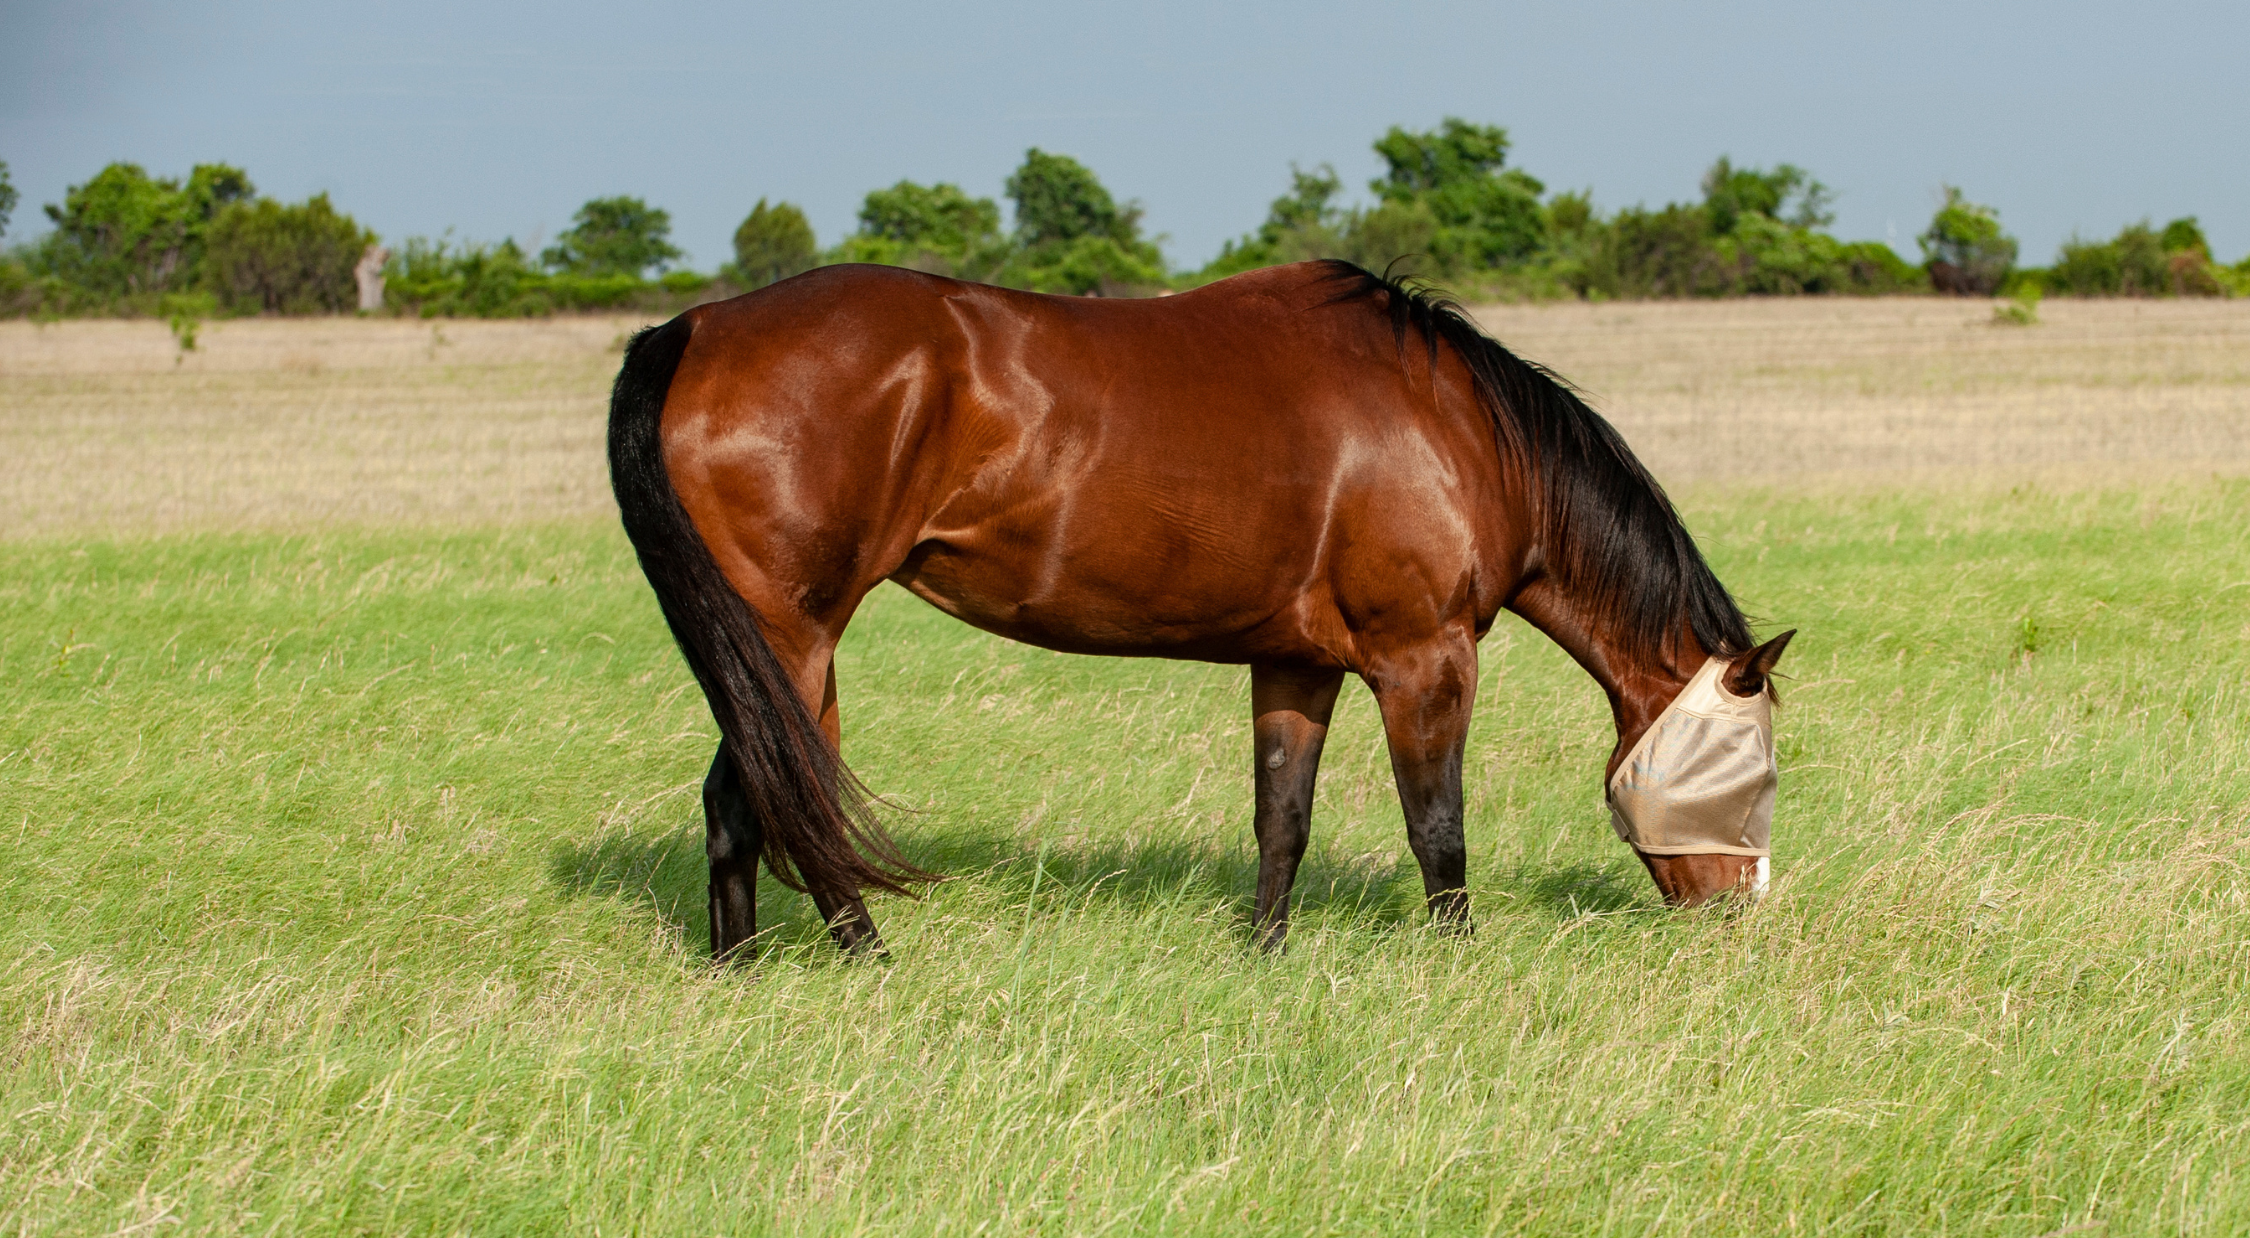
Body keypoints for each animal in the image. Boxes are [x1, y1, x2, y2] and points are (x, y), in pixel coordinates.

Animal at [607, 260, 1793, 960]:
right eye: (1758, 768)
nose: (1740, 909)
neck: (1457, 428)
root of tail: (697, 326)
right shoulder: (1425, 658)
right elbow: (1439, 824)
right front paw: (1457, 961)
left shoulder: (1297, 663)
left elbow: (1283, 818)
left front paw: (1266, 953)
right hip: (791, 638)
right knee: (777, 795)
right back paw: (864, 956)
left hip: (765, 647)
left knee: (740, 801)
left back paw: (739, 969)